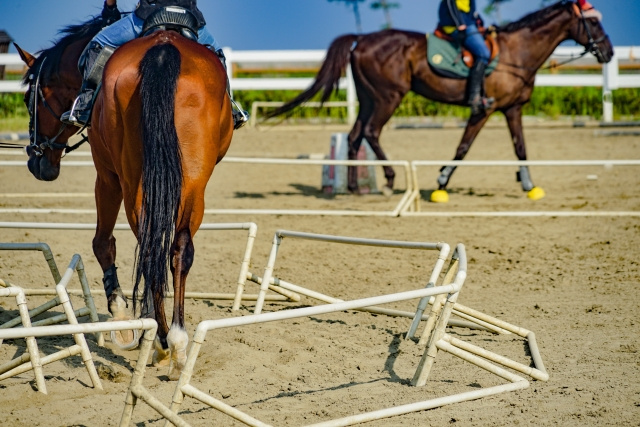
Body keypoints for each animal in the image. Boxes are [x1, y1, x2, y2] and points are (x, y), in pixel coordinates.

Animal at [16, 16, 233, 380]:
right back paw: (175, 343)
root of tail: (163, 50)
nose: (38, 162)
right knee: (178, 249)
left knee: (149, 247)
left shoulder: (107, 177)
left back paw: (161, 341)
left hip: (132, 180)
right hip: (192, 183)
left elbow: (102, 243)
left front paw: (120, 316)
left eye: (29, 98)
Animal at [266, 0, 613, 202]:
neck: (517, 53)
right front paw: (442, 182)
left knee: (354, 136)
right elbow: (463, 148)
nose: (608, 52)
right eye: (593, 22)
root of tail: (362, 39)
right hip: (388, 98)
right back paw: (389, 181)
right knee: (372, 132)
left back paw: (353, 188)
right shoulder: (484, 110)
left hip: (368, 99)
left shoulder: (512, 109)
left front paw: (529, 186)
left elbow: (520, 148)